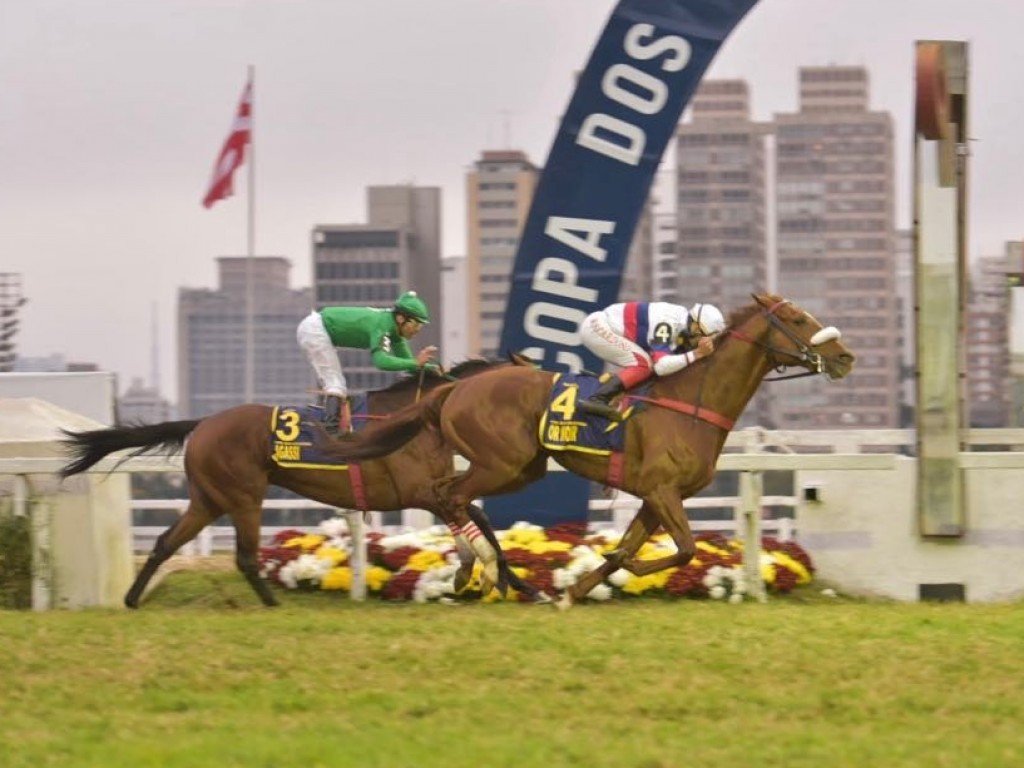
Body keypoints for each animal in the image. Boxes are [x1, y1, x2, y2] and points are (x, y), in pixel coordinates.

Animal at [58, 360, 544, 606]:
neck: (423, 415)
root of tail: (203, 422)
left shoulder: (437, 488)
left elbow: (479, 520)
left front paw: (512, 583)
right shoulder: (421, 490)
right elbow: (476, 519)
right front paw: (491, 577)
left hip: (207, 500)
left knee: (164, 542)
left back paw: (131, 598)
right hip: (243, 496)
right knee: (245, 556)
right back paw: (273, 605)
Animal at [313, 294, 856, 606]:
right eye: (796, 318)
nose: (845, 356)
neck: (691, 401)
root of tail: (453, 388)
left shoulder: (657, 497)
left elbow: (634, 549)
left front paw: (575, 589)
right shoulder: (662, 489)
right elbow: (682, 550)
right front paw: (619, 570)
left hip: (520, 468)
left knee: (449, 494)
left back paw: (484, 571)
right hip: (500, 462)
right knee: (449, 494)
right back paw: (486, 569)